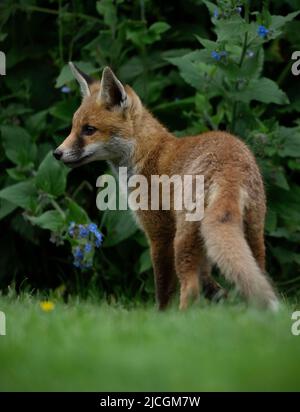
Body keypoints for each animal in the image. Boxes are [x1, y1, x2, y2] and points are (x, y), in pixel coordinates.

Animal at [54, 62, 278, 310]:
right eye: (73, 128)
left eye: (89, 129)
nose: (57, 153)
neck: (147, 153)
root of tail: (230, 168)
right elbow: (211, 281)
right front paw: (219, 296)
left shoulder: (159, 233)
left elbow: (163, 290)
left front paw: (160, 316)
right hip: (252, 235)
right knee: (257, 278)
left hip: (182, 241)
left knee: (190, 288)